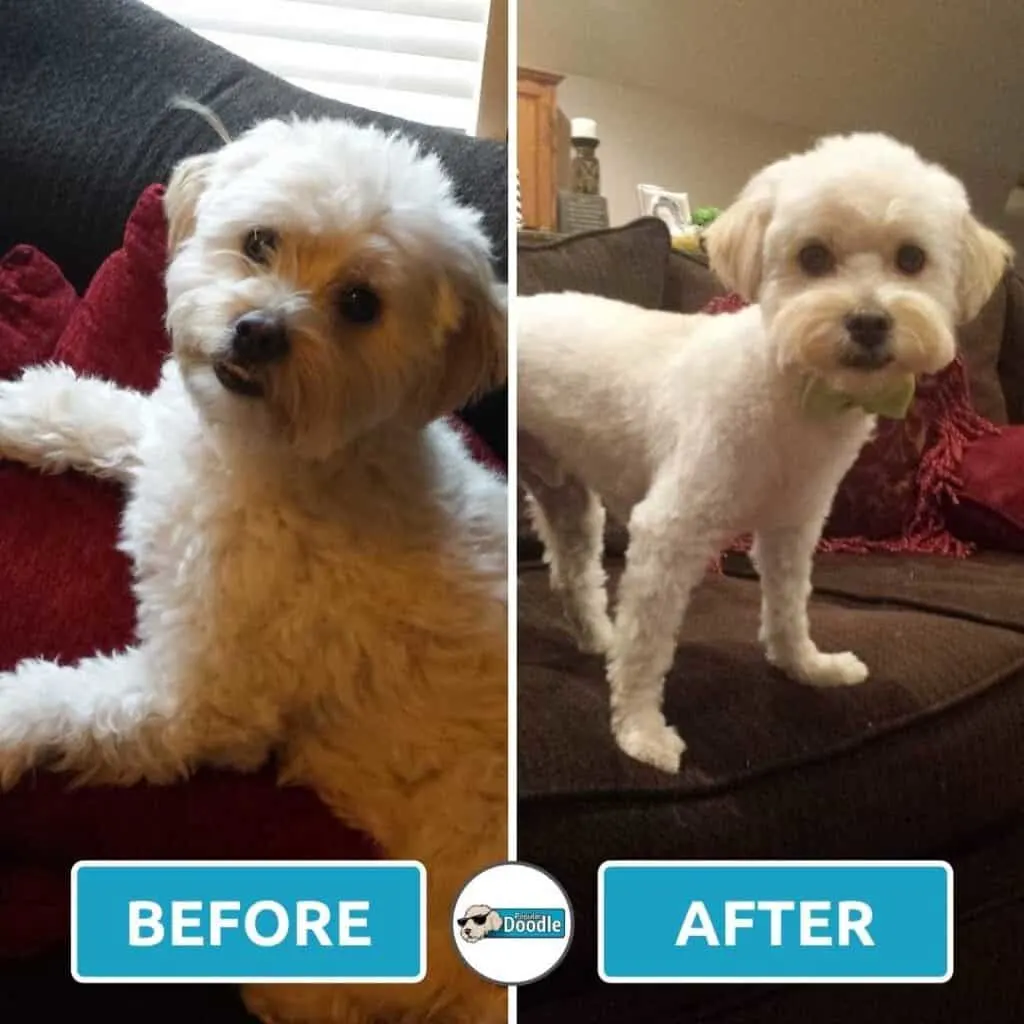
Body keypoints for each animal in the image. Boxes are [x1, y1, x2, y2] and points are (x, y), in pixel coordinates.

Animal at [0, 116, 507, 1019]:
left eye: (360, 304)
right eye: (260, 242)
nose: (260, 330)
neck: (275, 459)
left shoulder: (199, 704)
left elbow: (68, 703)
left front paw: (5, 720)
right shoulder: (167, 443)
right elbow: (105, 413)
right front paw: (16, 408)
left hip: (464, 847)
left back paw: (291, 980)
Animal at [520, 134, 1007, 774]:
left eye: (910, 259)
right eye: (813, 257)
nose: (869, 322)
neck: (795, 389)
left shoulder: (791, 529)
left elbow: (788, 606)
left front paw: (806, 666)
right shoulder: (668, 534)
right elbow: (646, 648)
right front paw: (641, 732)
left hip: (569, 500)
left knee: (572, 572)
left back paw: (599, 637)